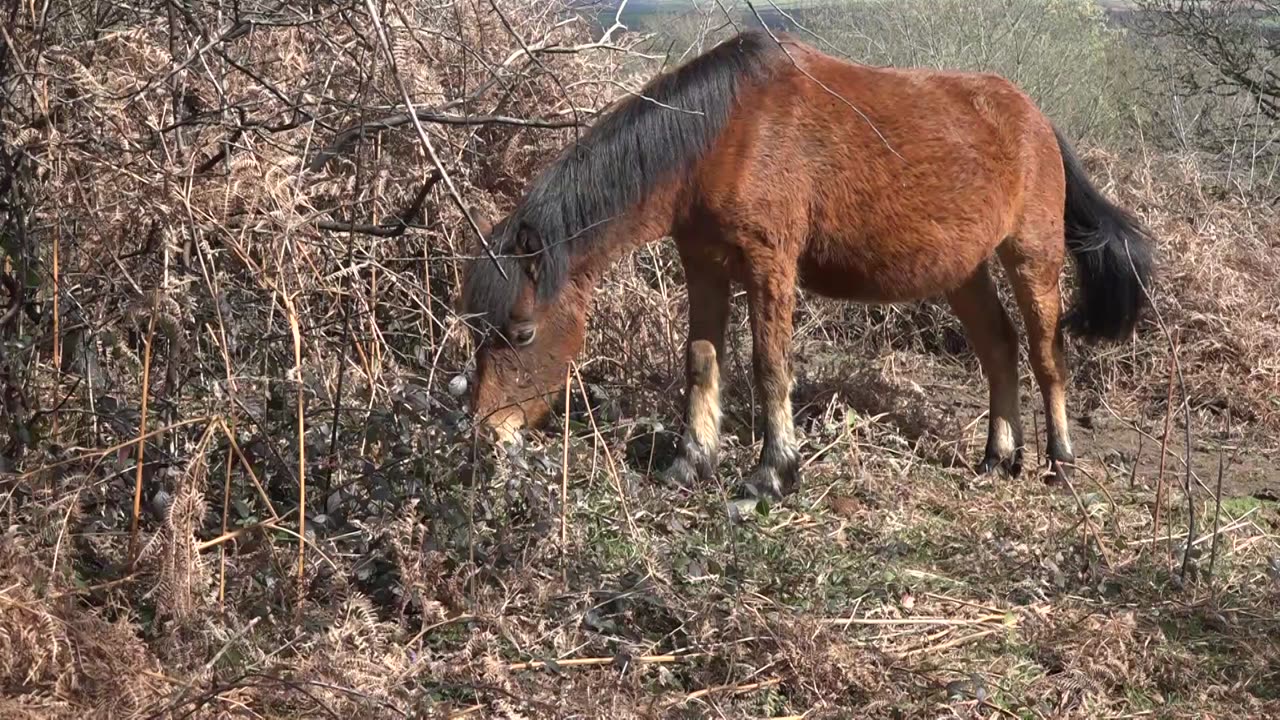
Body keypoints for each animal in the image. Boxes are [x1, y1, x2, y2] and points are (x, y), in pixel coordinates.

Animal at [458, 29, 1152, 499]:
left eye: (522, 333)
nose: (483, 437)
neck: (726, 131)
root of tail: (1036, 118)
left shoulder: (771, 262)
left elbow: (770, 364)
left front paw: (772, 472)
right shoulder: (703, 263)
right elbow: (701, 360)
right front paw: (690, 463)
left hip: (1031, 255)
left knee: (1045, 352)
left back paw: (1059, 461)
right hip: (963, 270)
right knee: (999, 346)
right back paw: (995, 455)